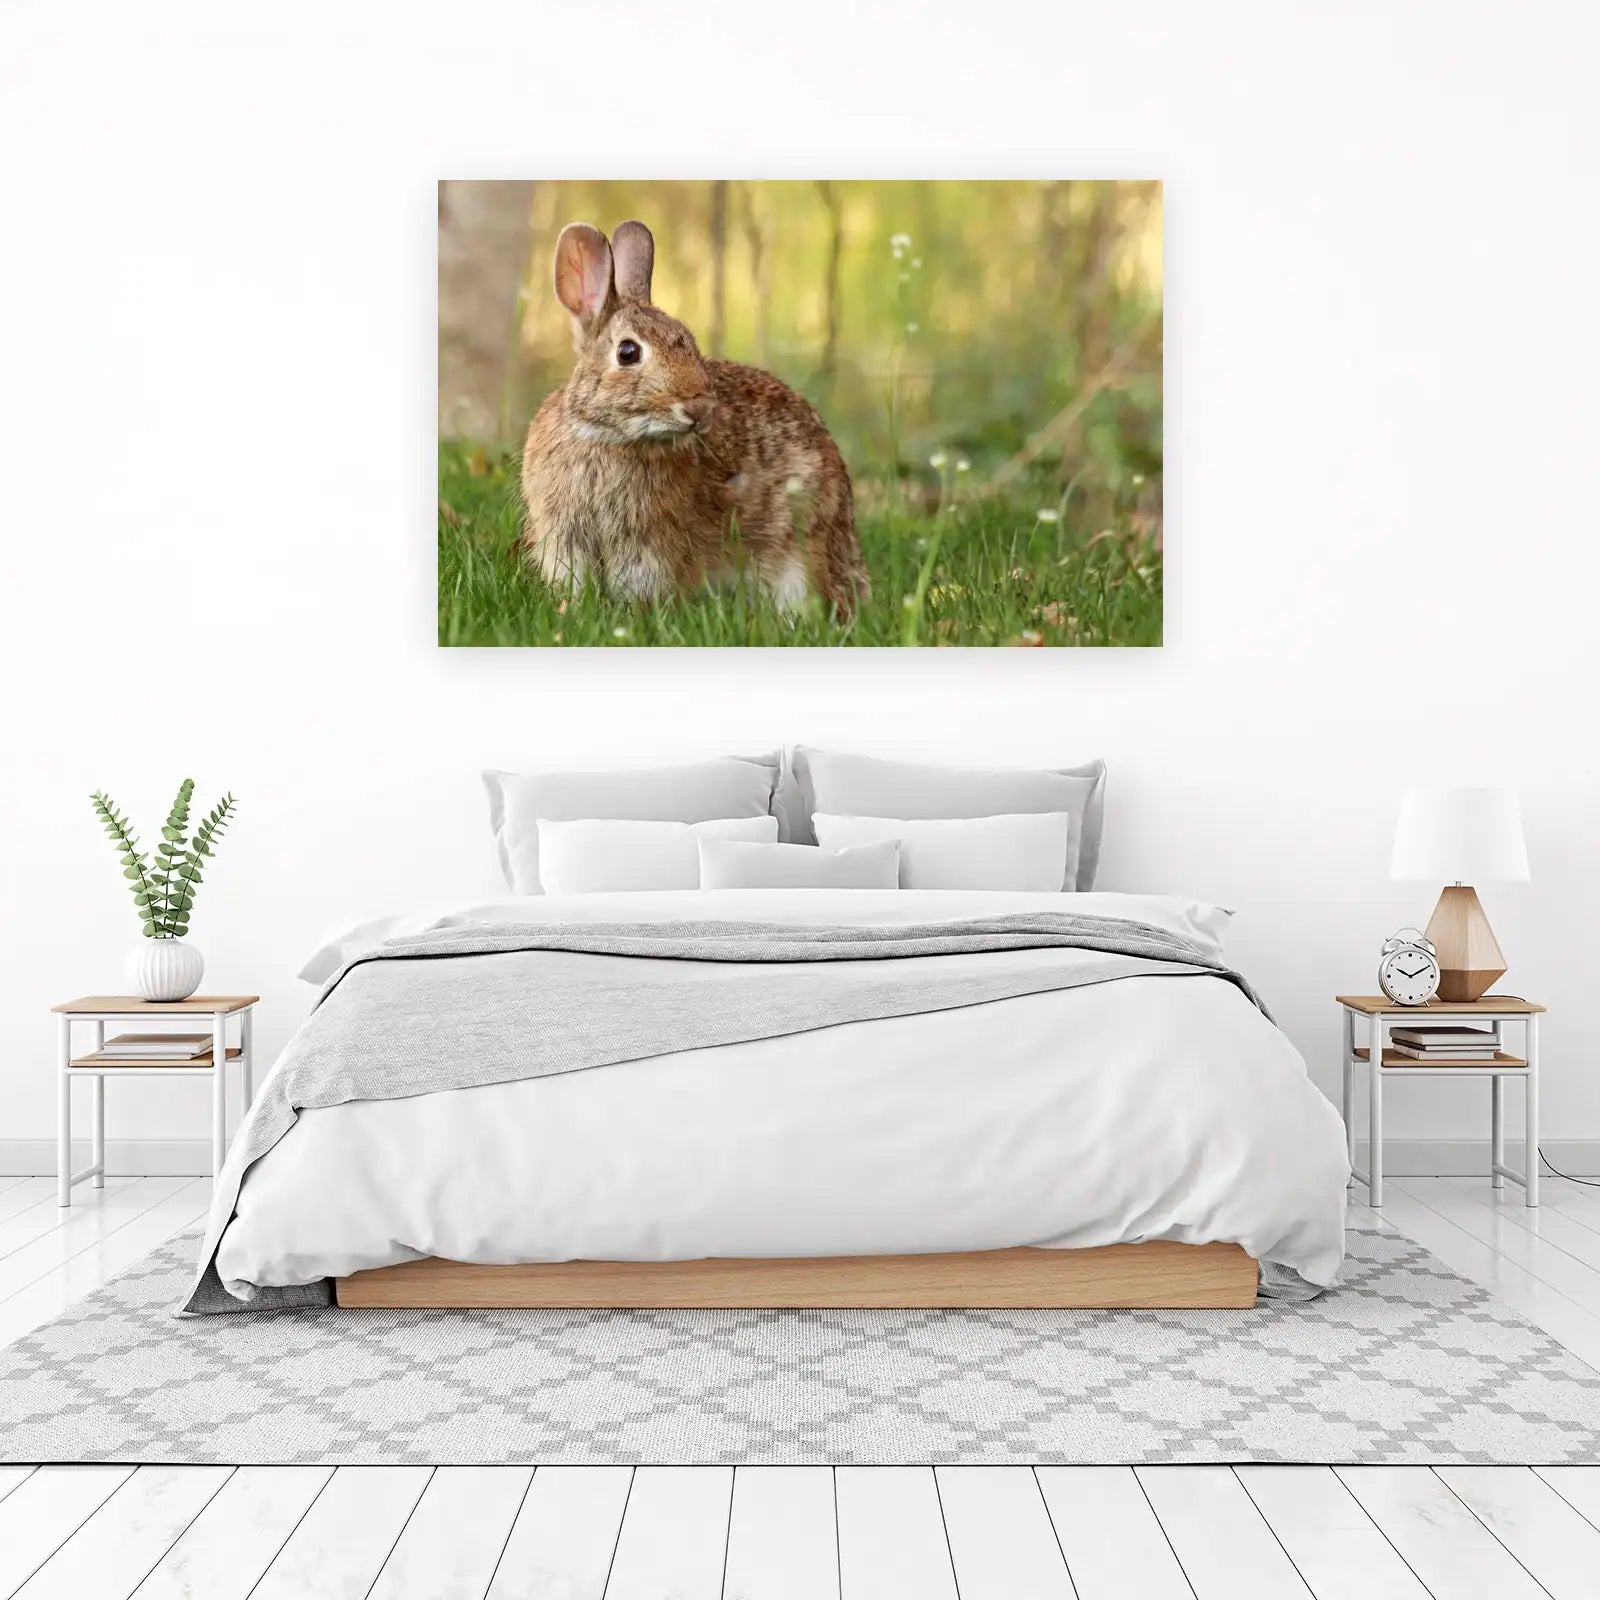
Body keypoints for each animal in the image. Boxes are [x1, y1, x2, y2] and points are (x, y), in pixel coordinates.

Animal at [520, 220, 870, 618]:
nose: (699, 408)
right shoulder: (565, 539)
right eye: (628, 352)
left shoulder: (646, 548)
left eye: (689, 340)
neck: (606, 435)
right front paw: (572, 610)